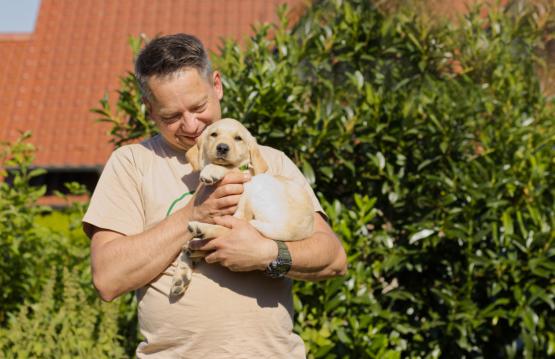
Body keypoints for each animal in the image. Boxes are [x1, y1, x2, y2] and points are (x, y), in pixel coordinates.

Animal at [169, 118, 314, 298]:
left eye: (238, 138)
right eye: (213, 134)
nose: (222, 148)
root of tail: (299, 228)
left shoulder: (242, 176)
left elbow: (231, 168)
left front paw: (212, 170)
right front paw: (181, 272)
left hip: (257, 189)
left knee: (230, 228)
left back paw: (200, 230)